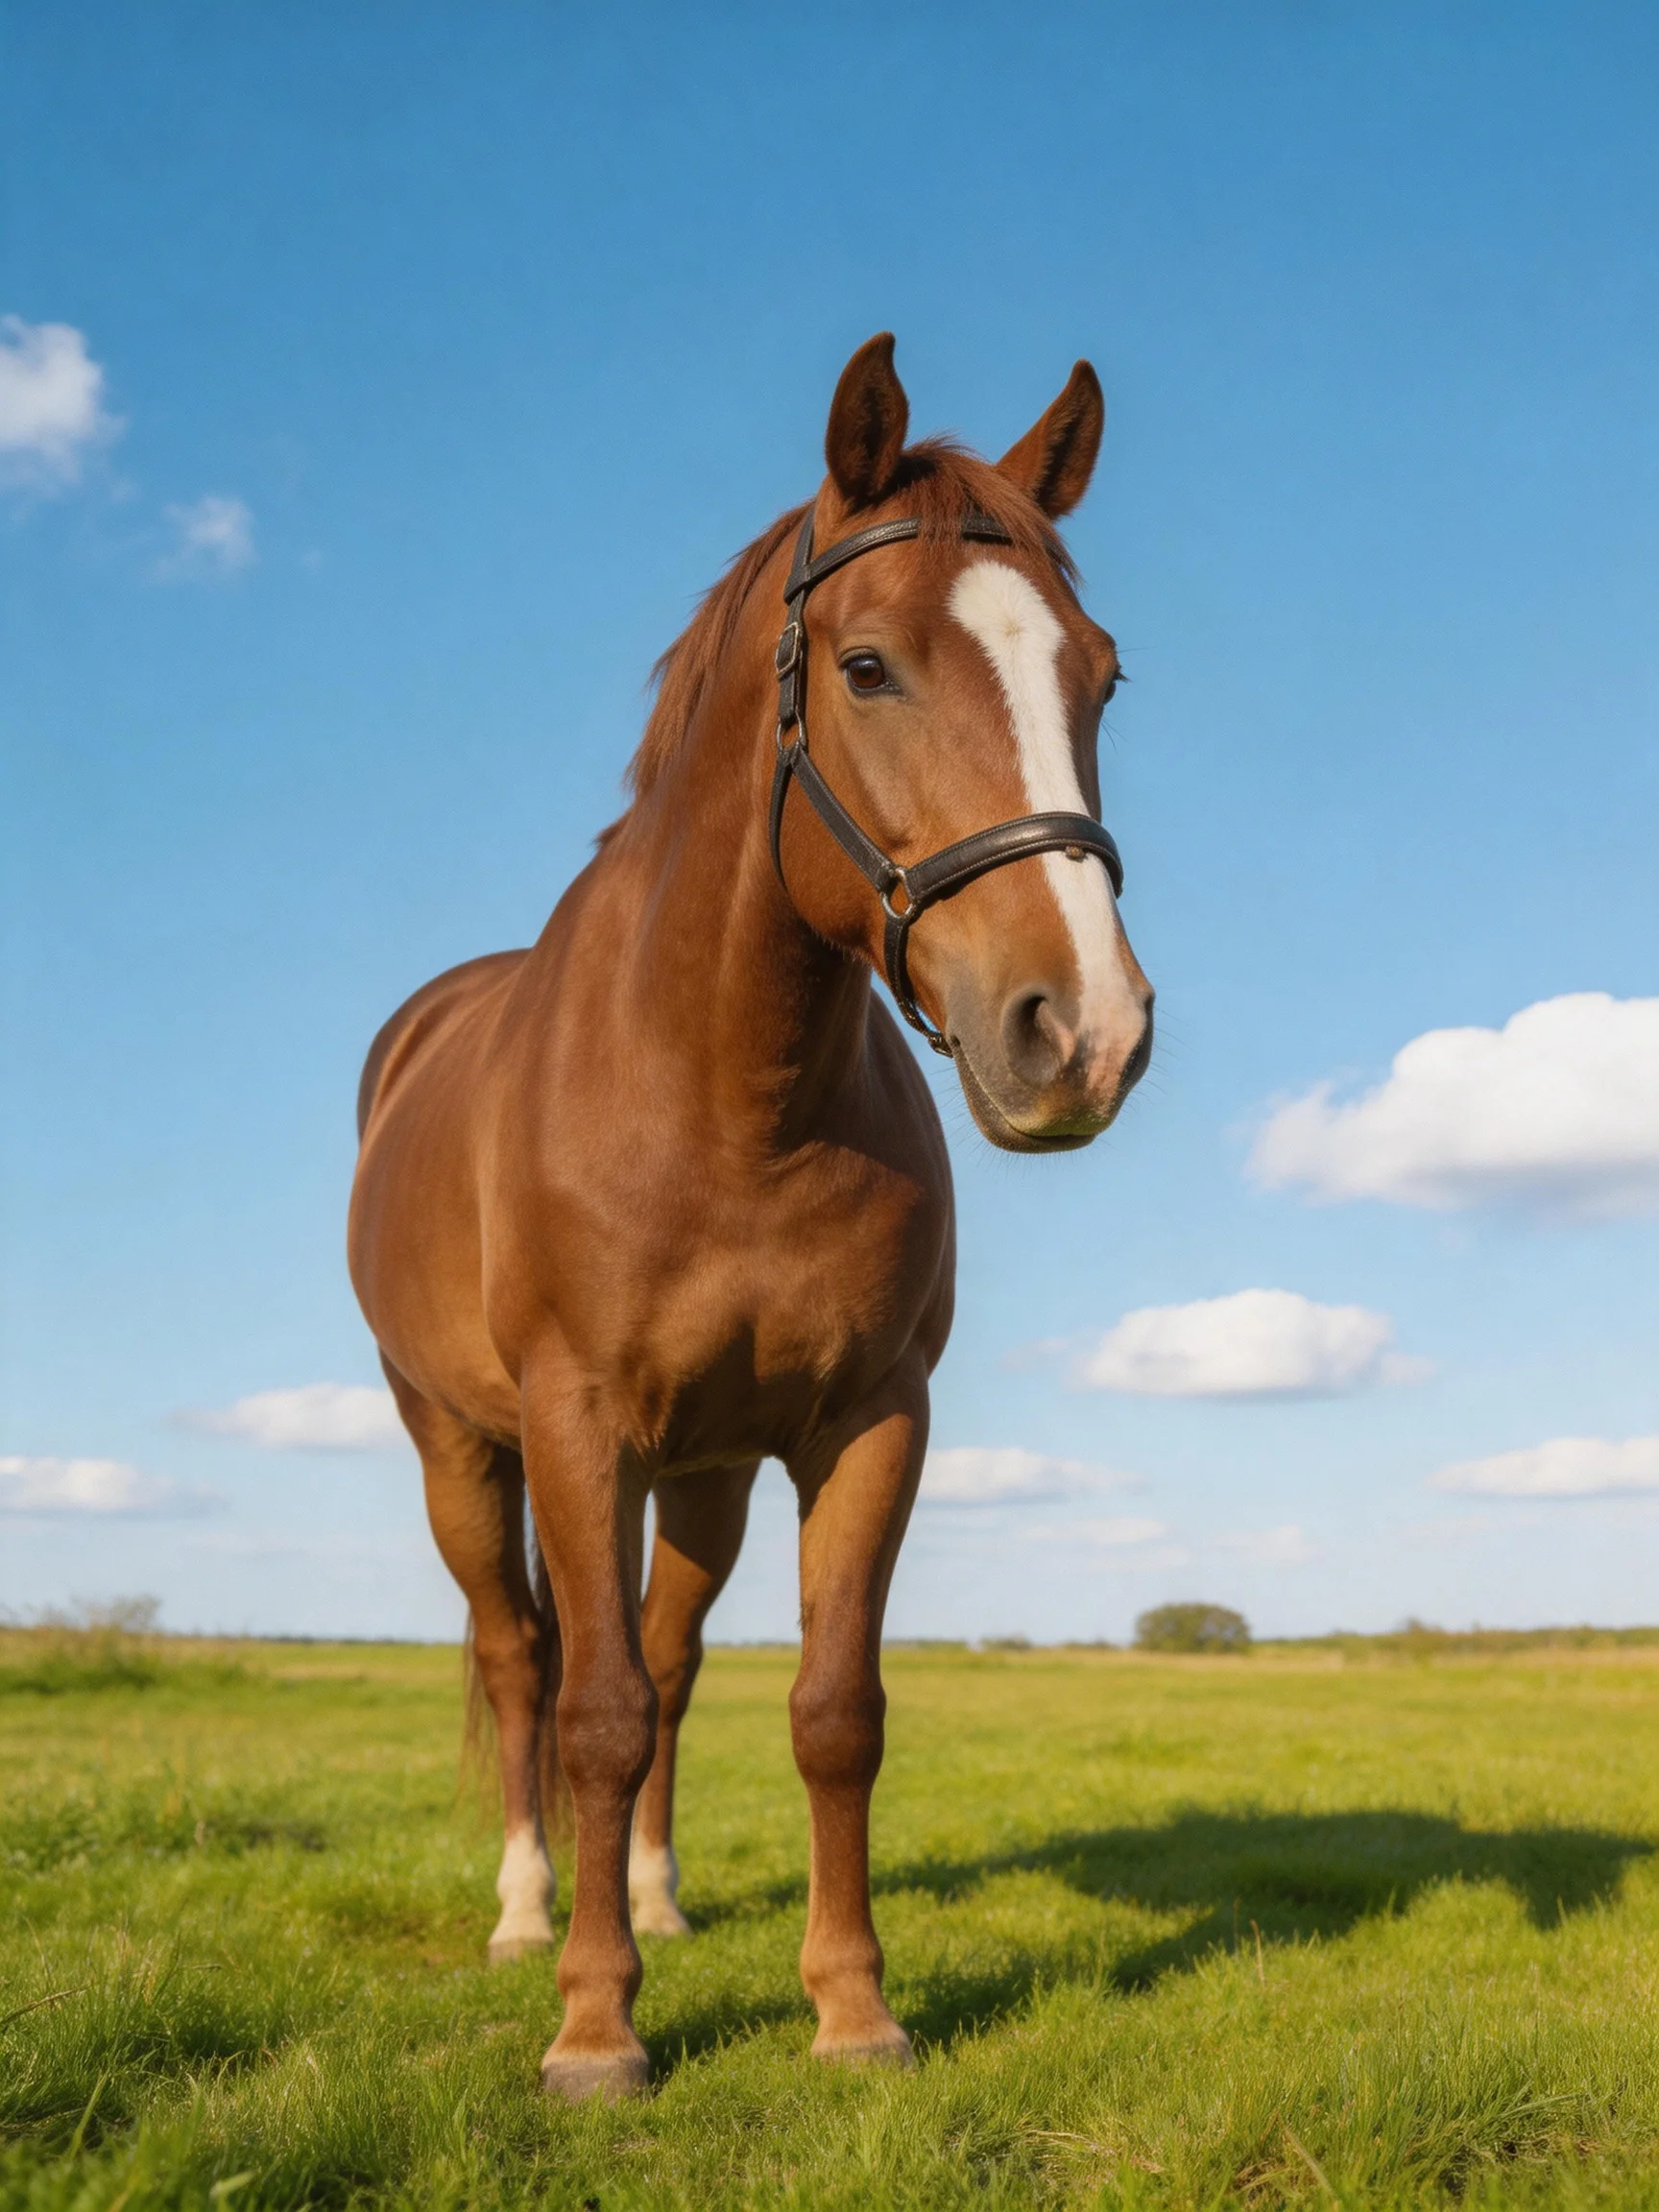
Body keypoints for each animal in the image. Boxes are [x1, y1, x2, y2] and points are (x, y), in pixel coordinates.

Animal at [347, 333, 1153, 2100]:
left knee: (670, 1655)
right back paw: (530, 1914)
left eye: (1101, 676)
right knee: (526, 1659)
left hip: (702, 1475)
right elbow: (588, 1710)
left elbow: (828, 1710)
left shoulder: (867, 1424)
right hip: (463, 1448)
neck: (725, 1092)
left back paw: (652, 1893)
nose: (1081, 1032)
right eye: (865, 667)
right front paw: (595, 2027)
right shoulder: (577, 1426)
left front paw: (851, 2009)